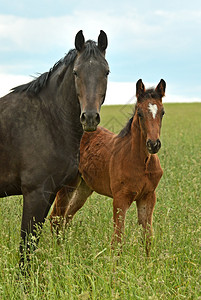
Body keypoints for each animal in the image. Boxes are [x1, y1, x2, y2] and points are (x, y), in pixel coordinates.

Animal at [0, 29, 109, 264]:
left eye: (106, 72)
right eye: (76, 72)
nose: (89, 118)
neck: (48, 119)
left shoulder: (51, 193)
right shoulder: (35, 193)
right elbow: (26, 249)